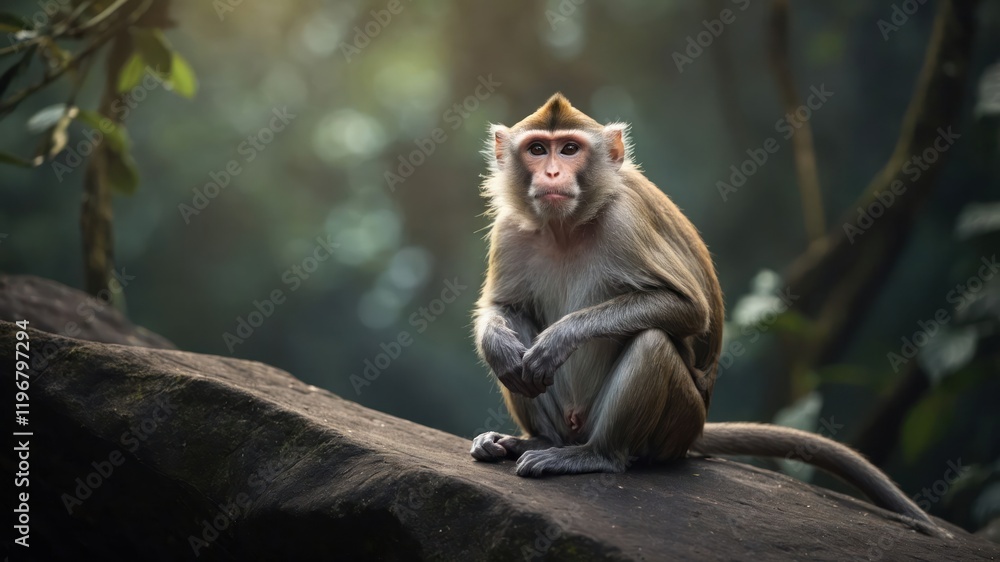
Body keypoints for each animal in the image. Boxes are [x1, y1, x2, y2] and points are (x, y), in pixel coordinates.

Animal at [469, 93, 947, 538]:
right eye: (537, 149)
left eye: (569, 149)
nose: (551, 174)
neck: (567, 227)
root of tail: (696, 430)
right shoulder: (510, 228)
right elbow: (503, 308)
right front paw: (499, 345)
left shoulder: (626, 222)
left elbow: (688, 310)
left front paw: (558, 339)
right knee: (524, 343)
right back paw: (532, 438)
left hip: (676, 425)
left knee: (651, 342)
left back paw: (595, 455)